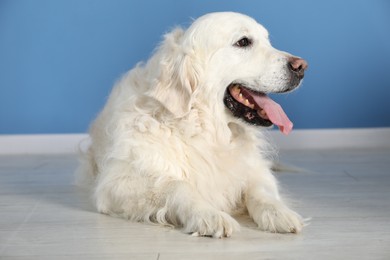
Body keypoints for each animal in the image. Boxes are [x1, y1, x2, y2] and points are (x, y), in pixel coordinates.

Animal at [77, 12, 308, 240]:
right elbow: (177, 186)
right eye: (243, 42)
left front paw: (280, 213)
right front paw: (210, 215)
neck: (202, 130)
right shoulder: (117, 183)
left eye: (268, 40)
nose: (302, 66)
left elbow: (260, 191)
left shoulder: (256, 170)